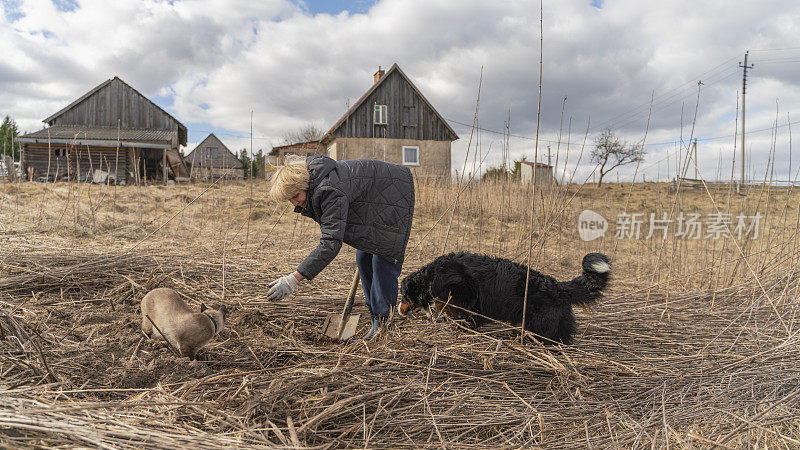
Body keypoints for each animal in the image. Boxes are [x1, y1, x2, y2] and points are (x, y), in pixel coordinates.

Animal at [396, 253, 608, 344]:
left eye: (404, 296)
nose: (397, 309)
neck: (430, 276)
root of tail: (559, 286)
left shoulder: (463, 286)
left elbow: (445, 302)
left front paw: (440, 311)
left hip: (545, 325)